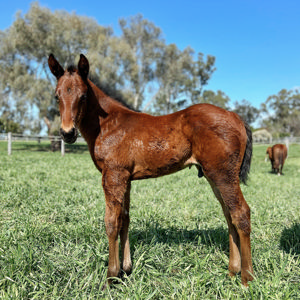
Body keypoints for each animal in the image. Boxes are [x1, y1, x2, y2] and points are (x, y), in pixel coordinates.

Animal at [48, 53, 254, 286]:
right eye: (56, 96)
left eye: (83, 96)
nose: (67, 133)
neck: (108, 124)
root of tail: (235, 116)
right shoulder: (125, 178)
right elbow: (124, 219)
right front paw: (126, 269)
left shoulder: (113, 175)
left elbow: (111, 221)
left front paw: (111, 276)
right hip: (214, 176)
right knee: (229, 214)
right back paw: (232, 271)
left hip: (223, 174)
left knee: (240, 213)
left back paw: (246, 277)